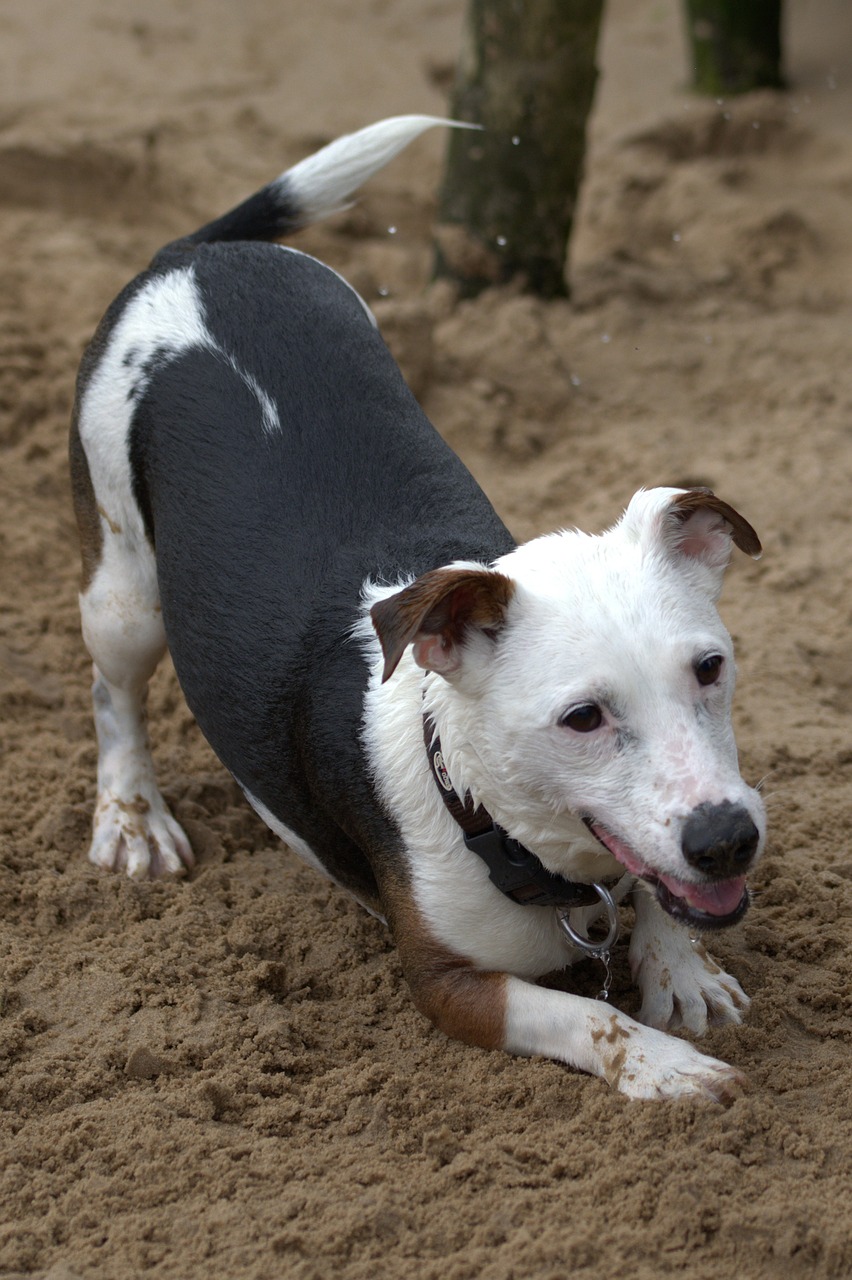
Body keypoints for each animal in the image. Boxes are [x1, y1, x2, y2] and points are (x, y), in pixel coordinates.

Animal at [71, 117, 762, 1100]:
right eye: (581, 718)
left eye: (710, 668)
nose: (728, 840)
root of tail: (194, 257)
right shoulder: (443, 983)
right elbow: (588, 1015)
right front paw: (663, 1066)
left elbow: (667, 903)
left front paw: (685, 974)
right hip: (124, 587)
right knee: (114, 693)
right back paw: (131, 816)